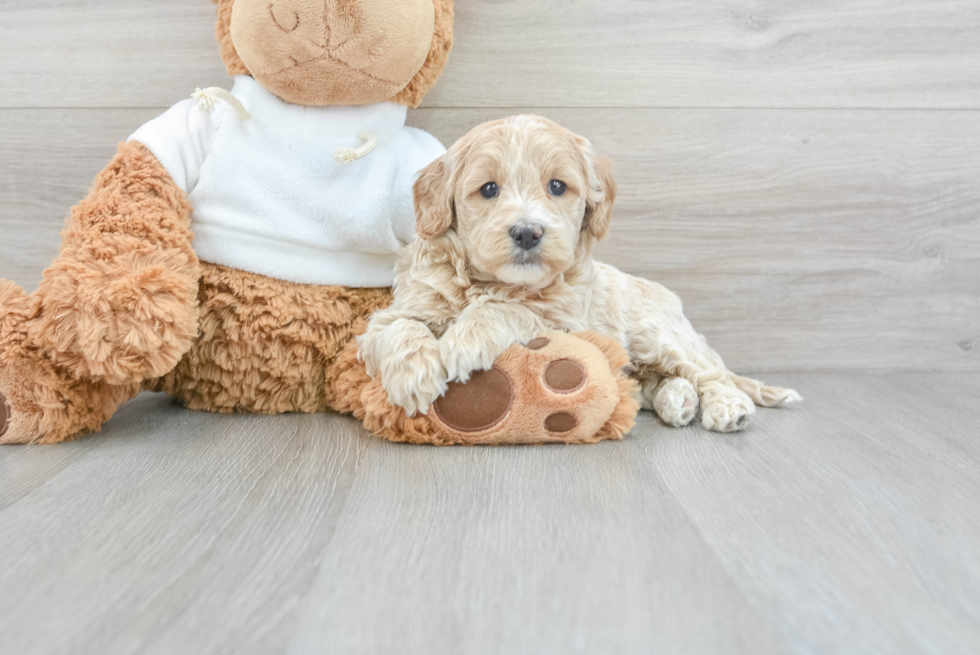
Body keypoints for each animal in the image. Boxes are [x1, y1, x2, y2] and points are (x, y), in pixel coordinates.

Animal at [364, 115, 800, 434]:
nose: (527, 232)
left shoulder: (567, 322)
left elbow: (511, 309)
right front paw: (413, 375)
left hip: (657, 334)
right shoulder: (398, 310)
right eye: (488, 189)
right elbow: (399, 326)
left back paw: (726, 406)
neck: (492, 281)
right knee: (655, 380)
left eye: (557, 186)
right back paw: (677, 400)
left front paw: (466, 339)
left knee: (707, 372)